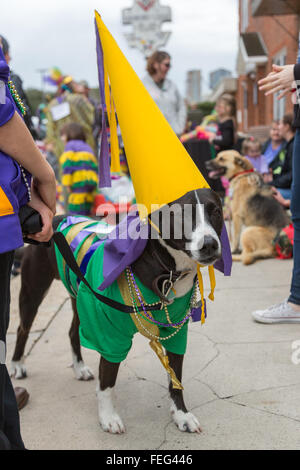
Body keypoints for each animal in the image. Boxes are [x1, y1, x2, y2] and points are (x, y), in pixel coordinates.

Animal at [10, 187, 224, 434]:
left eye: (216, 211)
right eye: (180, 214)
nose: (209, 244)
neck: (167, 270)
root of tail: (53, 219)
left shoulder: (177, 333)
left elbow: (176, 378)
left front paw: (182, 415)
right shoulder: (108, 332)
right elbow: (107, 380)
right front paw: (108, 417)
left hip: (80, 296)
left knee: (72, 332)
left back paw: (79, 368)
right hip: (33, 292)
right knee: (22, 329)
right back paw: (17, 365)